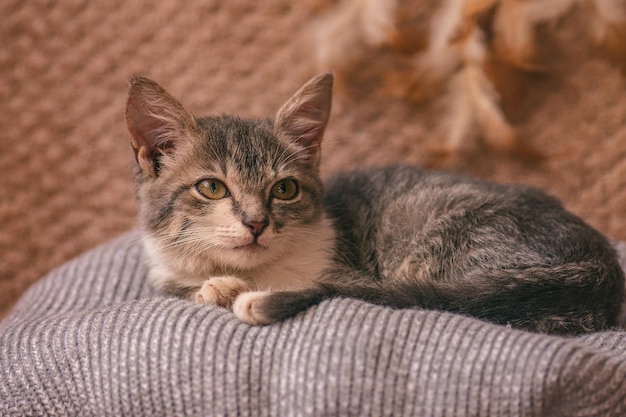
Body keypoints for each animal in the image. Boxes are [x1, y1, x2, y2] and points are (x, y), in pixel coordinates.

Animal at [124, 72, 620, 334]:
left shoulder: (346, 272)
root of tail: (600, 263)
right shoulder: (164, 271)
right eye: (212, 188)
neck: (257, 271)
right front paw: (211, 286)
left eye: (284, 189)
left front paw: (228, 289)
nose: (257, 223)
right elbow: (179, 286)